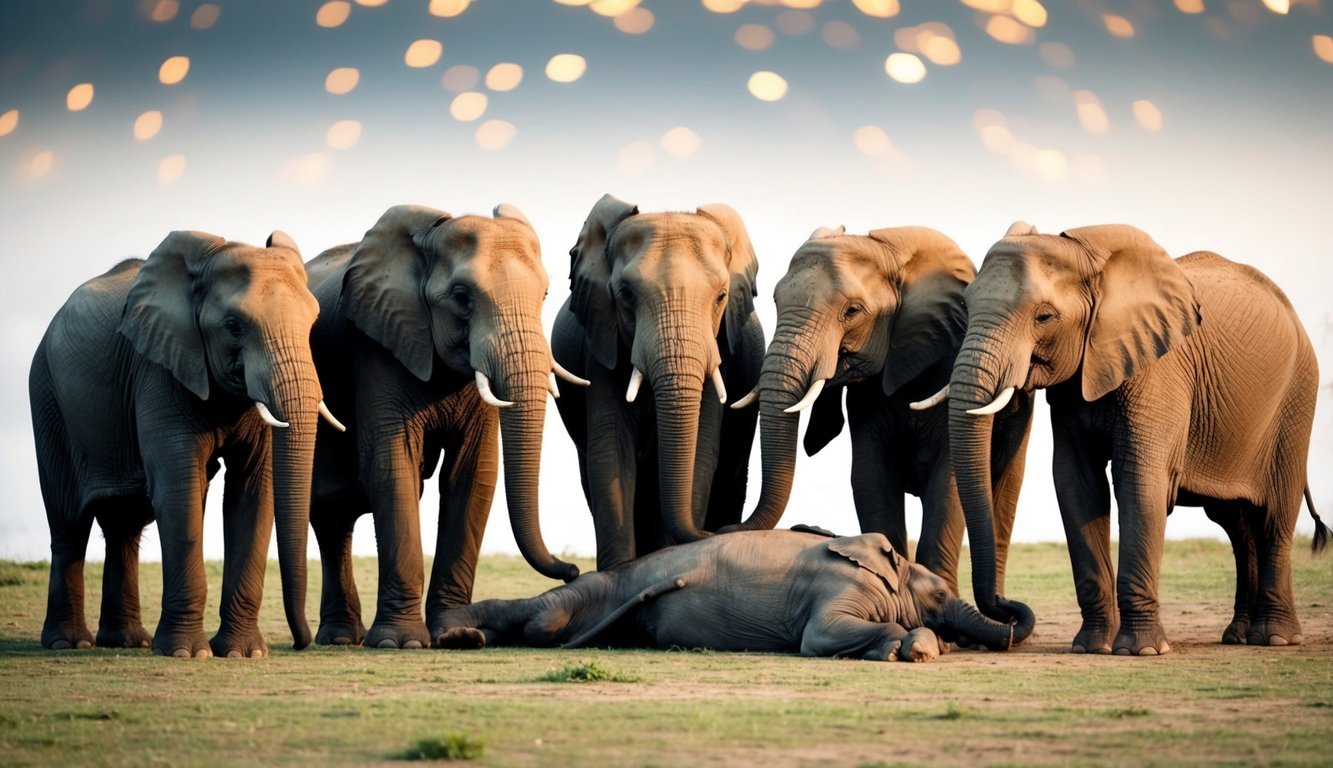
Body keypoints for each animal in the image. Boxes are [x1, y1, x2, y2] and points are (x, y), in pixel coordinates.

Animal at [30, 230, 329, 657]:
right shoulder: (158, 370)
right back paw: (68, 644)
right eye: (234, 325)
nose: (301, 642)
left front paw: (242, 653)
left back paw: (128, 642)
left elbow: (253, 490)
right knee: (69, 521)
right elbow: (179, 486)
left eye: (313, 322)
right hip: (47, 397)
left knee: (124, 525)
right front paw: (189, 653)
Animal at [305, 203, 581, 649]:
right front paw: (400, 643)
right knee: (332, 506)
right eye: (462, 298)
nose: (572, 569)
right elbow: (392, 467)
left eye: (543, 295)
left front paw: (458, 634)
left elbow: (471, 474)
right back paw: (341, 639)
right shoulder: (378, 344)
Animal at [550, 194, 766, 570]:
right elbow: (611, 453)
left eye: (721, 297)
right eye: (625, 295)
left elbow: (701, 452)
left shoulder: (719, 350)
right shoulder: (602, 347)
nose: (717, 533)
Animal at [726, 225, 1034, 596]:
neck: (890, 248)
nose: (723, 528)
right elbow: (870, 478)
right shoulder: (867, 397)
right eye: (775, 301)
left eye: (853, 311)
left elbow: (948, 484)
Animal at [938, 221, 1328, 655]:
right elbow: (1076, 483)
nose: (1007, 608)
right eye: (967, 305)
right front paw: (1091, 648)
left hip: (1297, 397)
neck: (1088, 259)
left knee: (1275, 514)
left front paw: (1140, 650)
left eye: (1044, 317)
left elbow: (1139, 481)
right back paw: (1238, 636)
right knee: (1237, 525)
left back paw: (1275, 638)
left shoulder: (1158, 370)